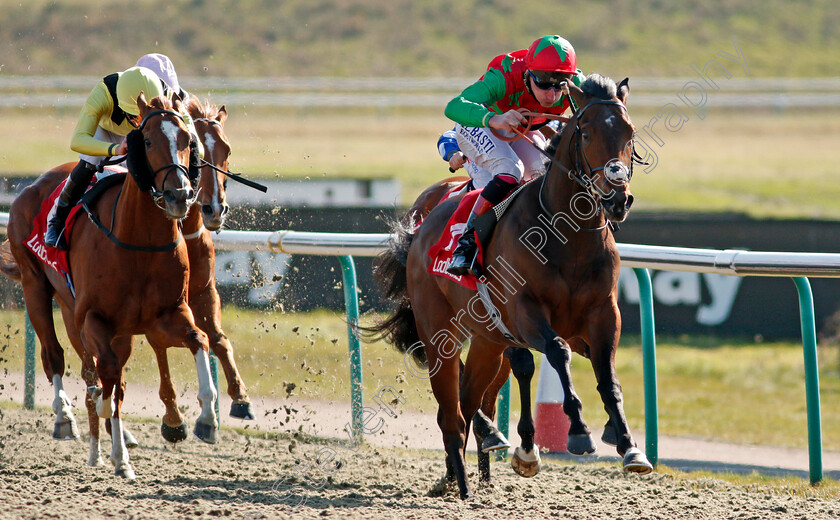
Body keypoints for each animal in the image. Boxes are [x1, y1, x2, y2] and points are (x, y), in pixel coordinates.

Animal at [0, 93, 217, 476]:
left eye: (187, 141)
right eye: (148, 141)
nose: (180, 195)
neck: (139, 240)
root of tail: (30, 187)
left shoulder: (166, 316)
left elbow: (199, 339)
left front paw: (205, 418)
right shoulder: (94, 318)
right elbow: (107, 378)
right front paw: (100, 412)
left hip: (89, 318)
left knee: (104, 375)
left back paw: (112, 453)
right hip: (35, 286)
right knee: (55, 356)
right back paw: (66, 419)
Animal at [370, 75, 652, 498]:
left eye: (629, 133)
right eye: (586, 133)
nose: (618, 198)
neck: (568, 238)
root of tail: (419, 231)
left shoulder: (603, 315)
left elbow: (608, 377)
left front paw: (628, 444)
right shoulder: (523, 312)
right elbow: (555, 353)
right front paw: (576, 432)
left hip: (487, 342)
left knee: (468, 401)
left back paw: (464, 470)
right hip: (439, 334)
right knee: (450, 412)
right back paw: (462, 481)